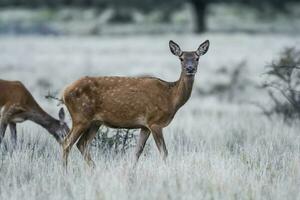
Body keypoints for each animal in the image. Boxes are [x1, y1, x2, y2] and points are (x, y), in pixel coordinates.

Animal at [62, 39, 210, 167]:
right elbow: (164, 153)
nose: (190, 68)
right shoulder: (154, 121)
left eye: (197, 58)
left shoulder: (145, 126)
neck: (170, 97)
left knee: (82, 144)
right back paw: (66, 173)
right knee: (66, 143)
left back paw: (94, 170)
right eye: (181, 58)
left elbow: (137, 152)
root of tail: (64, 92)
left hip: (95, 122)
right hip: (80, 117)